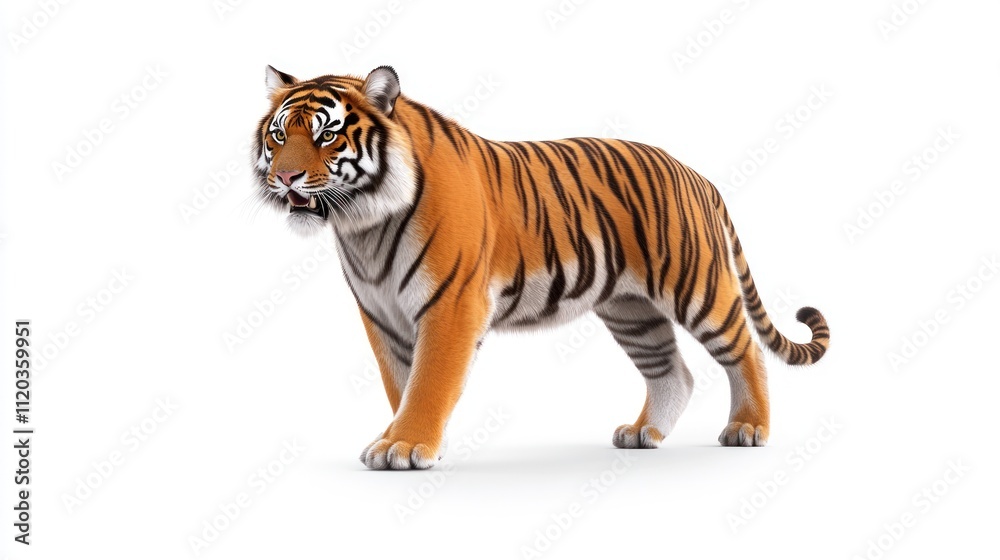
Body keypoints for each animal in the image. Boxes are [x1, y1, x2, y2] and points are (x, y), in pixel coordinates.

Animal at [251, 65, 830, 470]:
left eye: (327, 135)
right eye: (279, 136)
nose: (285, 178)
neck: (365, 224)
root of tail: (698, 176)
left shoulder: (451, 306)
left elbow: (429, 380)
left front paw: (407, 446)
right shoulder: (381, 315)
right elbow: (401, 382)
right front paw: (407, 438)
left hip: (697, 285)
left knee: (746, 350)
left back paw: (748, 429)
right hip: (631, 309)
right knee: (674, 373)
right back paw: (643, 434)